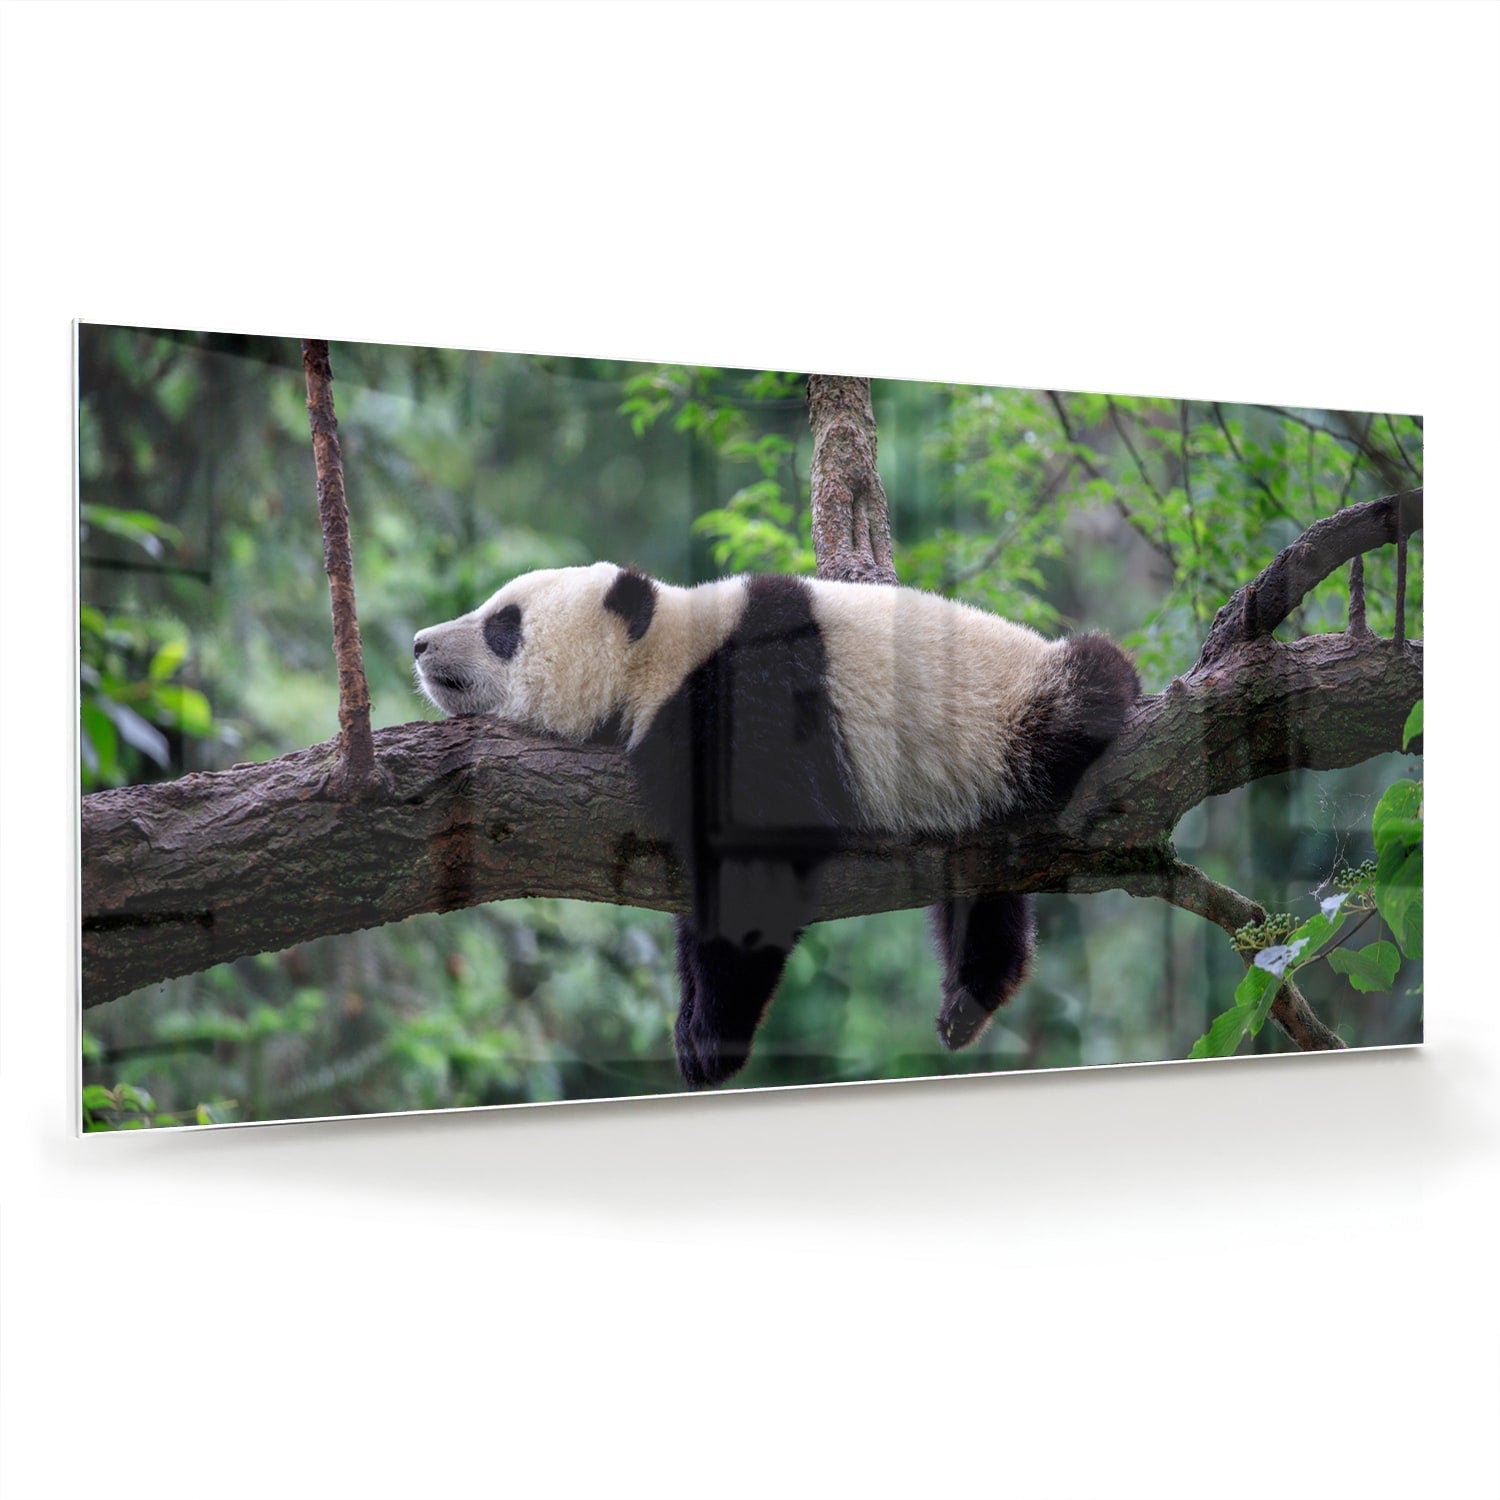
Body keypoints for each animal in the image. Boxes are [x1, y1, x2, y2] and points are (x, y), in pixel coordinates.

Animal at [414, 562, 1139, 1090]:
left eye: (504, 625)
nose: (420, 643)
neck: (663, 653)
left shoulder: (747, 698)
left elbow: (759, 861)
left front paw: (712, 1039)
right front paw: (691, 1022)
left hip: (1016, 712)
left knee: (1093, 679)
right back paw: (970, 997)